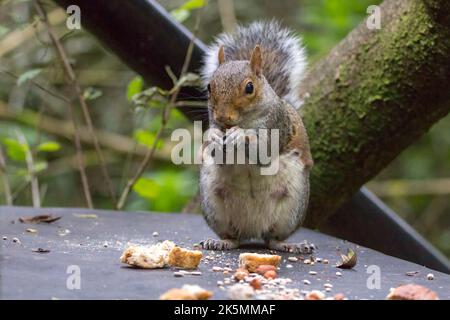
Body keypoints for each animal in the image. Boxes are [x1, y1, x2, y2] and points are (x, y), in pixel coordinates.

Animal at [199, 21, 314, 254]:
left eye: (249, 87)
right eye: (209, 87)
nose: (222, 117)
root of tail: (252, 229)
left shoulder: (278, 125)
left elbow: (264, 151)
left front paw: (240, 136)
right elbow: (218, 154)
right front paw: (213, 136)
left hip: (291, 207)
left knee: (273, 239)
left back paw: (291, 245)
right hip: (214, 204)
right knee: (233, 237)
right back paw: (221, 241)